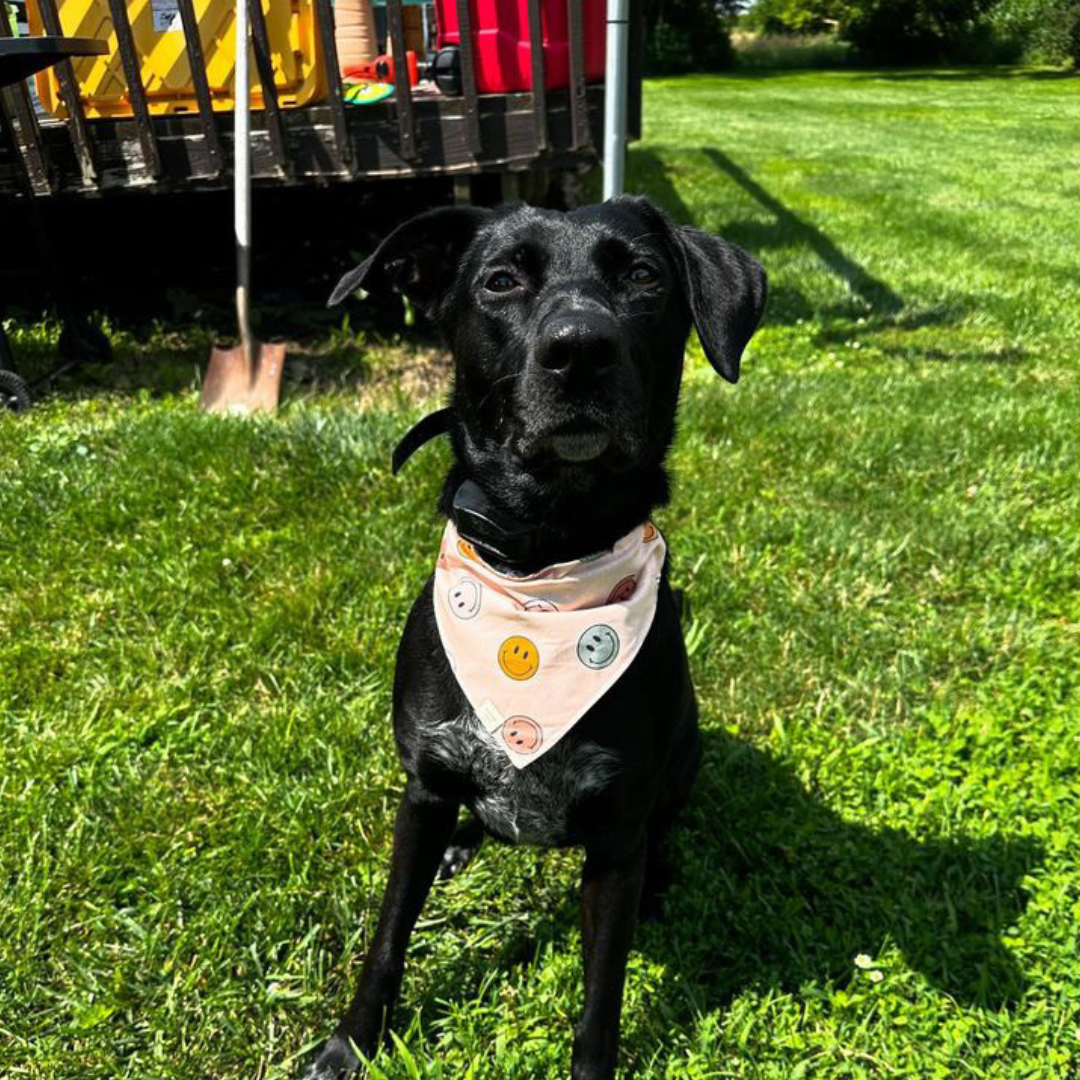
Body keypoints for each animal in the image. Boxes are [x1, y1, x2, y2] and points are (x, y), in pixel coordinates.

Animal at [304, 196, 768, 1080]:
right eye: (500, 280)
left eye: (644, 276)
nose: (579, 348)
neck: (542, 563)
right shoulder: (423, 786)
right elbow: (388, 938)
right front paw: (352, 1045)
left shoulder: (615, 832)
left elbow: (600, 999)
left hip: (682, 759)